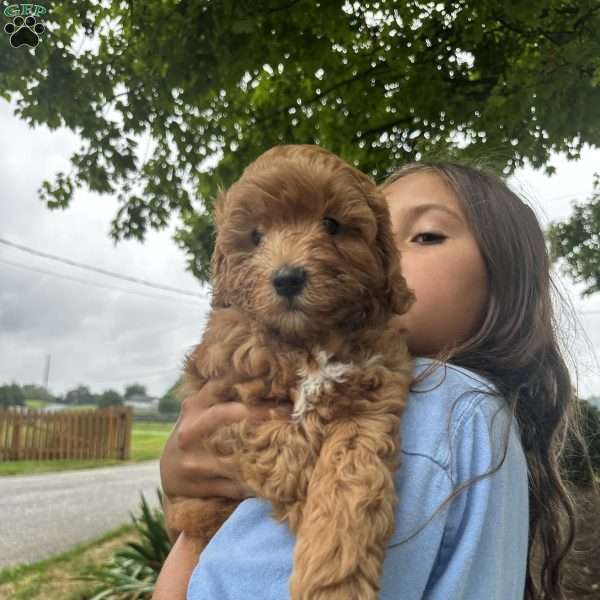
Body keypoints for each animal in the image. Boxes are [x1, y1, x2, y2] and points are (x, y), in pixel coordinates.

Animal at [166, 144, 414, 600]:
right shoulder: (228, 403)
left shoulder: (372, 396)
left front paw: (336, 576)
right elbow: (284, 450)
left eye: (332, 224)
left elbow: (352, 477)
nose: (287, 278)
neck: (307, 340)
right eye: (255, 236)